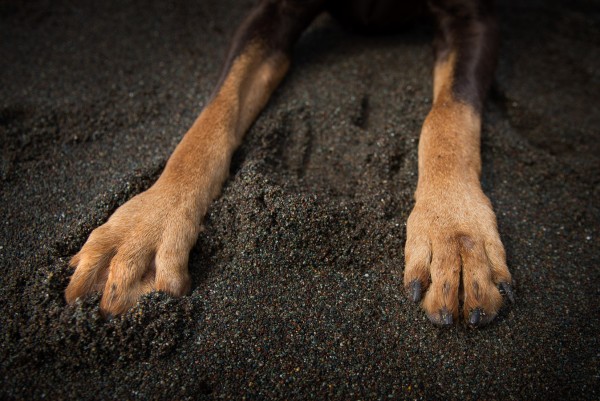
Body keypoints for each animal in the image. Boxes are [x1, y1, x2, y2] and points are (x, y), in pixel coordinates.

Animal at [65, 0, 516, 324]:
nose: (455, 236)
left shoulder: (473, 15)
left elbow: (449, 115)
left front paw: (454, 233)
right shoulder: (269, 13)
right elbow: (215, 113)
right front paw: (145, 226)